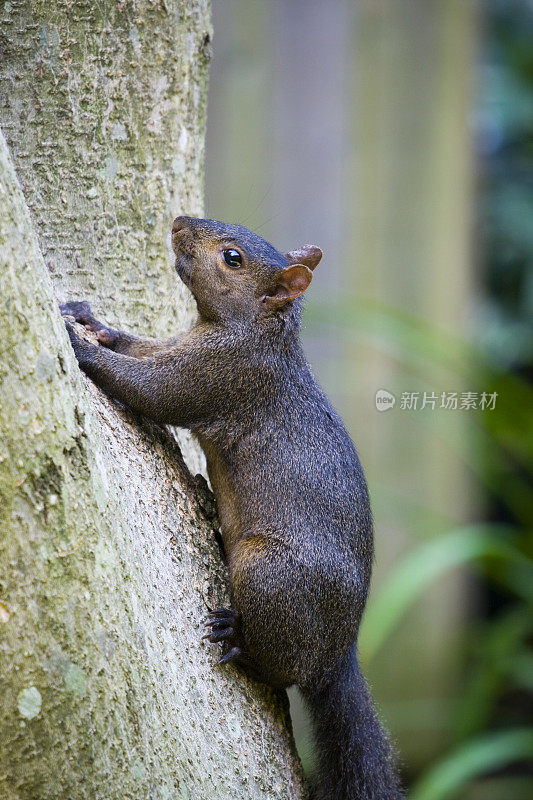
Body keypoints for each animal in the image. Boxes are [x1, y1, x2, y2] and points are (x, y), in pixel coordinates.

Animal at [60, 217, 404, 800]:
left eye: (233, 257)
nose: (180, 222)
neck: (252, 332)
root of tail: (340, 650)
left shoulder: (220, 376)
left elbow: (149, 387)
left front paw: (80, 348)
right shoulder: (181, 346)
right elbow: (141, 347)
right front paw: (90, 321)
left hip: (268, 575)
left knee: (284, 671)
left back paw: (238, 641)